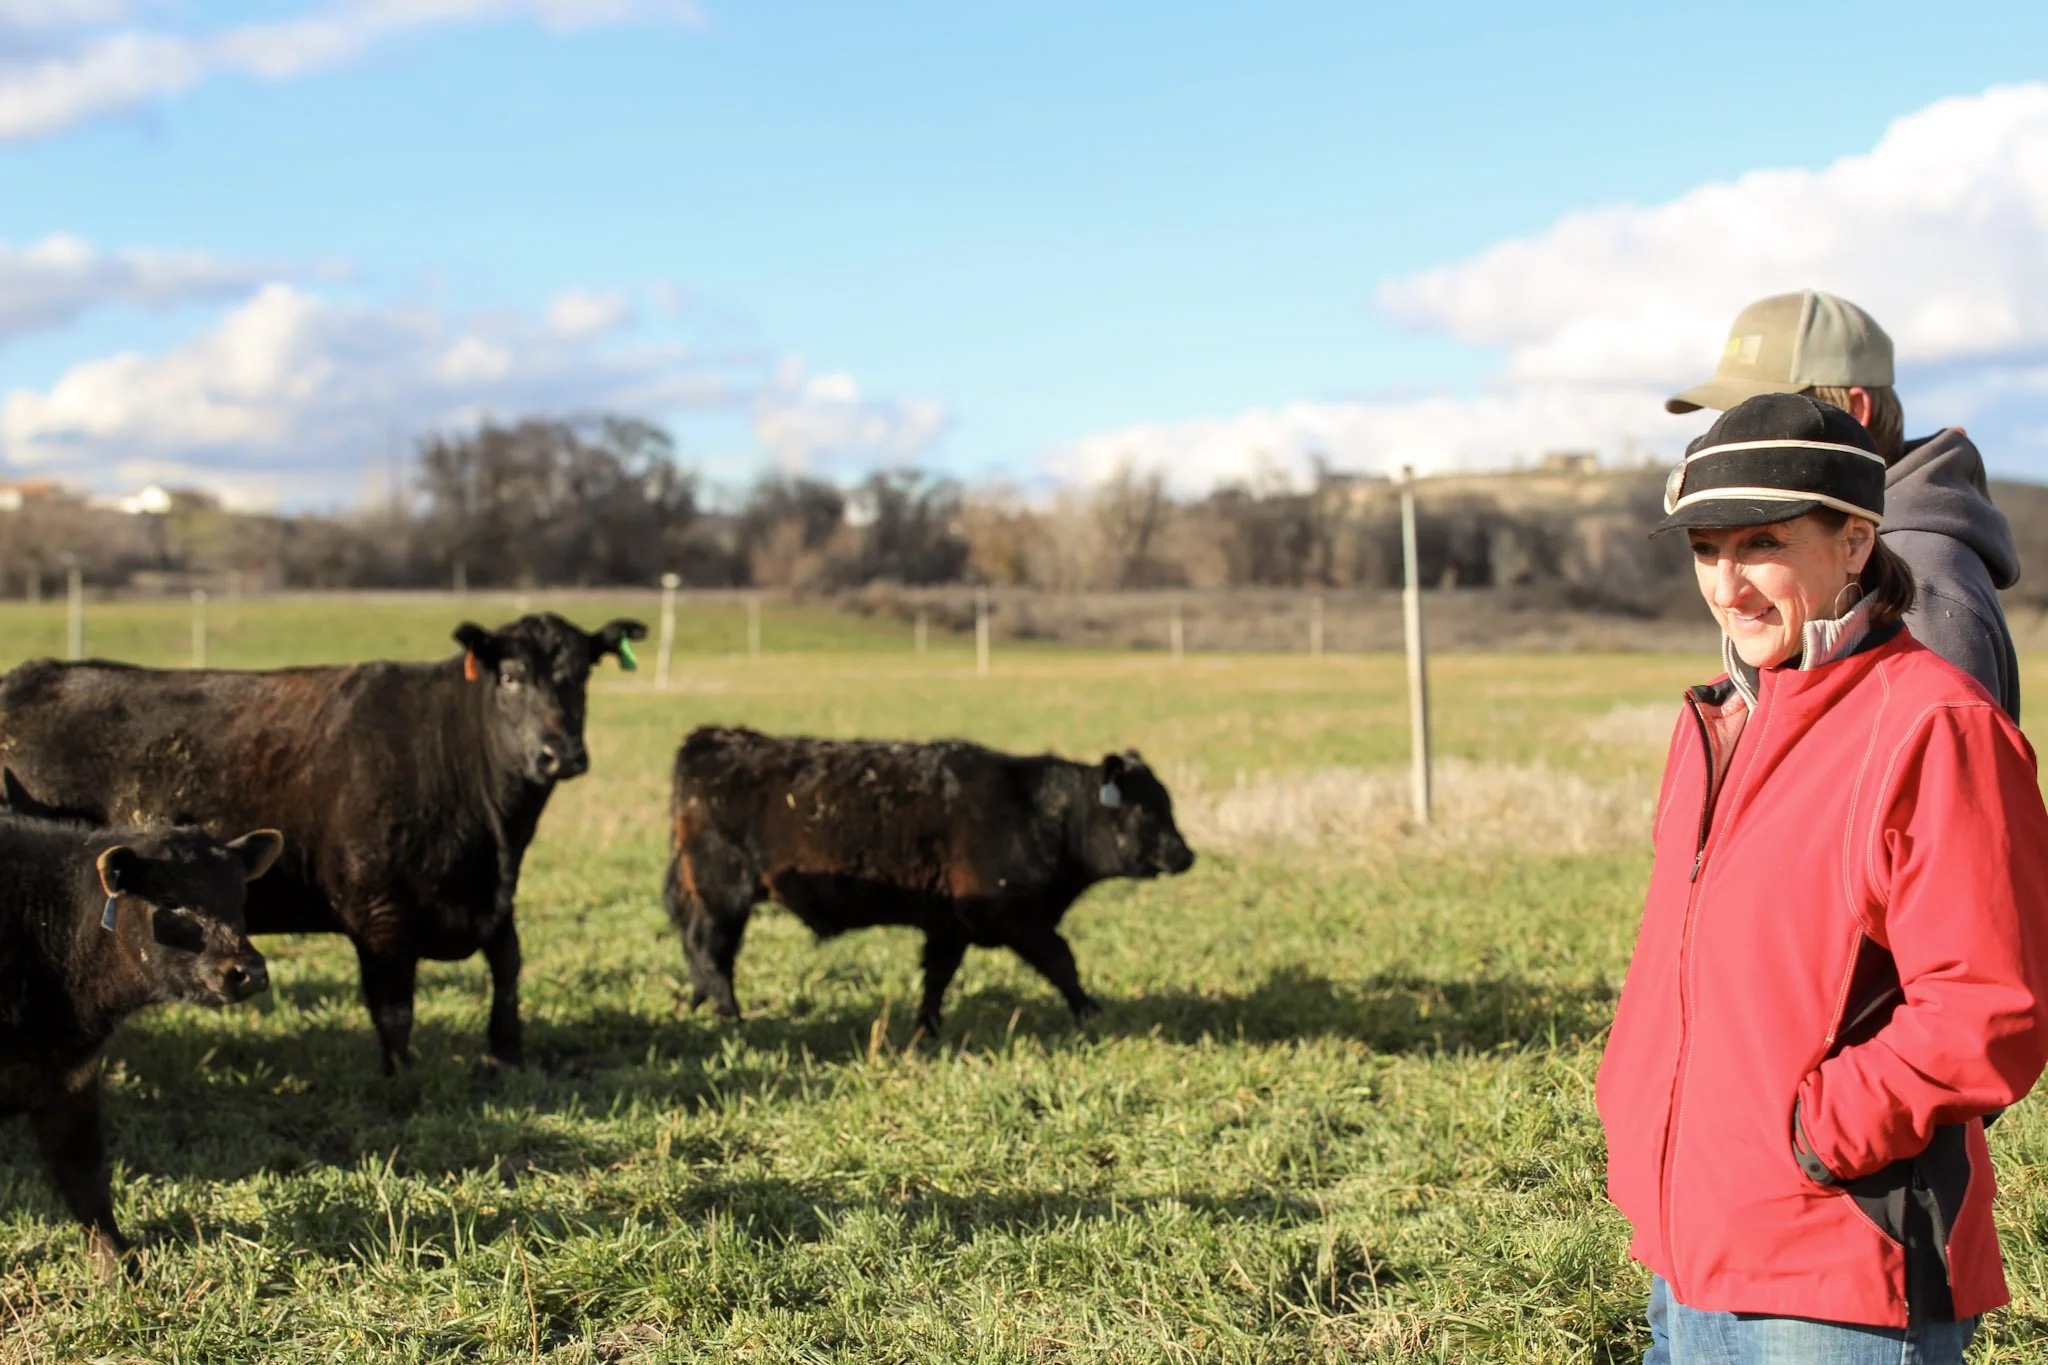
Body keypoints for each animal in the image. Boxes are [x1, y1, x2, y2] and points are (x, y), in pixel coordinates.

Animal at [0, 612, 646, 1074]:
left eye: (583, 675)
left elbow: (509, 969)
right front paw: (402, 1083)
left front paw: (508, 1057)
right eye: (509, 677)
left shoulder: (492, 899)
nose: (560, 754)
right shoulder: (379, 914)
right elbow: (395, 1010)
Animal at [0, 813, 280, 1276]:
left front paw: (119, 1267)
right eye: (169, 900)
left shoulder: (72, 1082)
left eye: (240, 897)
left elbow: (85, 1179)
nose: (249, 972)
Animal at [664, 726, 1196, 1035]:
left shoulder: (949, 925)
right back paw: (731, 1018)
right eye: (1145, 809)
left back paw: (700, 1004)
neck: (1038, 813)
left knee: (698, 950)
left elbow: (938, 976)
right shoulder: (1012, 916)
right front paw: (1091, 1013)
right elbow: (1061, 960)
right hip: (723, 893)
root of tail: (714, 738)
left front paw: (929, 1028)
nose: (1185, 854)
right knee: (712, 952)